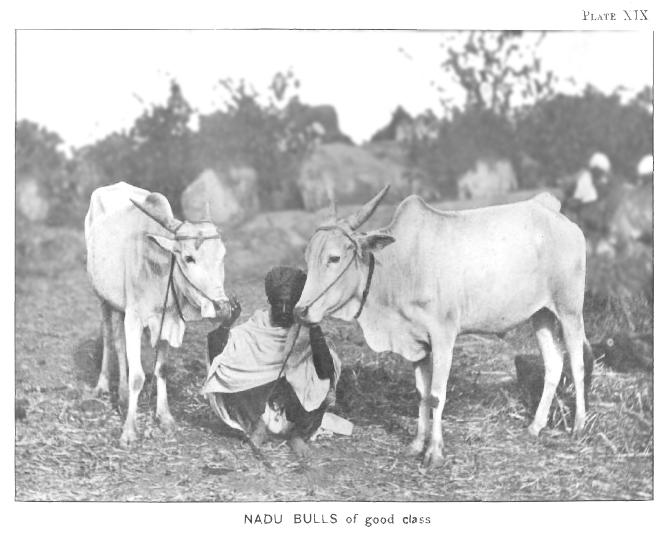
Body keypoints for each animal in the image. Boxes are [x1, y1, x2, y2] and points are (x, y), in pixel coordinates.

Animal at [85, 182, 231, 446]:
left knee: (120, 344)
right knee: (111, 339)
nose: (223, 307)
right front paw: (129, 430)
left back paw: (122, 396)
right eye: (189, 258)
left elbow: (160, 369)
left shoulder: (169, 321)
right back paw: (104, 386)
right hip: (102, 298)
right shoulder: (134, 318)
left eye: (222, 256)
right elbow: (137, 377)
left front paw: (165, 417)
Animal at [294, 186, 588, 467]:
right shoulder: (417, 343)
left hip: (570, 310)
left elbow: (436, 395)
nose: (300, 310)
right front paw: (416, 443)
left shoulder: (443, 336)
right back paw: (535, 426)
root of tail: (550, 210)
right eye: (307, 257)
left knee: (576, 363)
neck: (401, 266)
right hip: (541, 315)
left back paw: (579, 426)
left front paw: (434, 452)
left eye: (334, 258)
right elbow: (421, 393)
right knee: (553, 364)